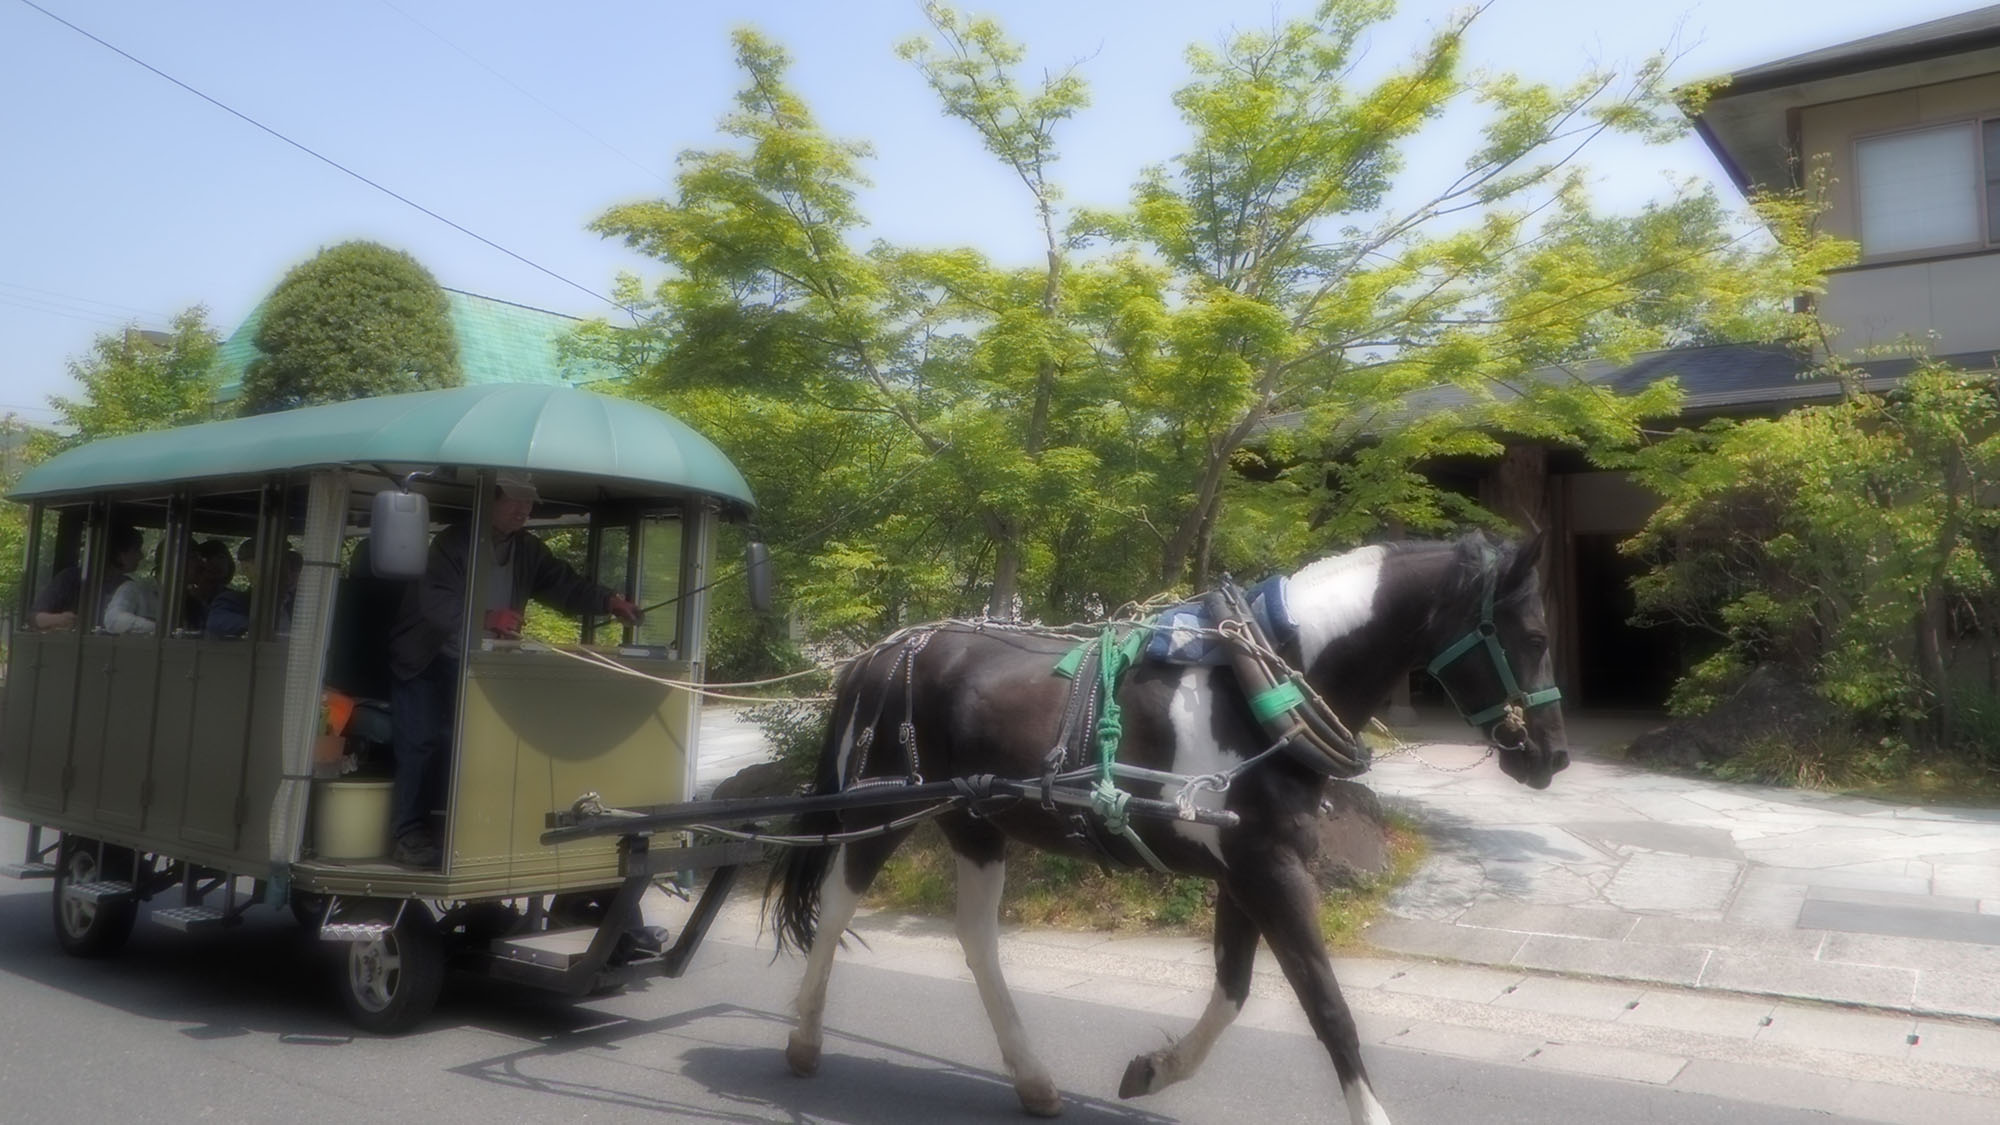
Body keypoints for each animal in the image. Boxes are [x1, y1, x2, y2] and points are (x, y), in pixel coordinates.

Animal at [772, 528, 1568, 1112]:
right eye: (1532, 636)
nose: (1553, 755)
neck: (1265, 685)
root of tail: (880, 653)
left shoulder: (1245, 867)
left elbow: (1233, 988)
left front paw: (1155, 1068)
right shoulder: (1267, 868)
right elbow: (1328, 1008)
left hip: (975, 820)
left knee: (975, 939)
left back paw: (1032, 1079)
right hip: (885, 807)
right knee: (837, 908)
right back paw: (804, 1040)